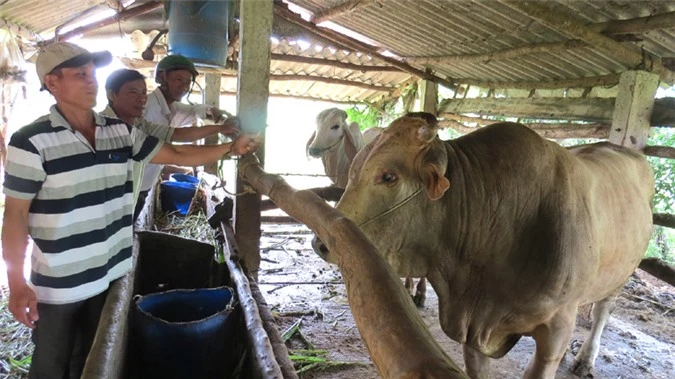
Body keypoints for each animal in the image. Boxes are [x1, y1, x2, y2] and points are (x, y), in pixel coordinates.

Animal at [314, 116, 656, 379]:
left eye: (388, 176)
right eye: (354, 169)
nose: (321, 242)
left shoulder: (556, 331)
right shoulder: (471, 328)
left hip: (620, 275)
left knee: (602, 311)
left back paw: (585, 358)